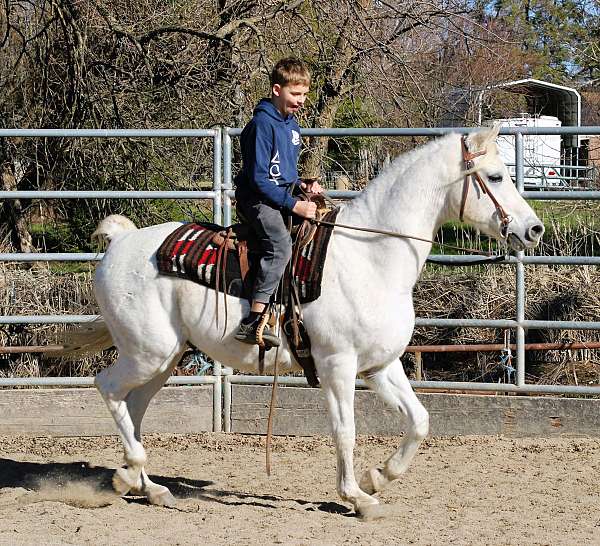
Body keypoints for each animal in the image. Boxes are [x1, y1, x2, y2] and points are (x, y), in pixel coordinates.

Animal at [64, 125, 544, 516]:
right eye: (496, 176)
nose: (534, 229)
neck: (371, 258)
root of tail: (122, 242)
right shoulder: (337, 366)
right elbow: (345, 430)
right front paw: (356, 497)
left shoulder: (380, 365)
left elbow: (419, 421)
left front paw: (377, 477)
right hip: (149, 352)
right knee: (109, 389)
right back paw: (131, 473)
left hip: (164, 358)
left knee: (135, 408)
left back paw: (149, 487)